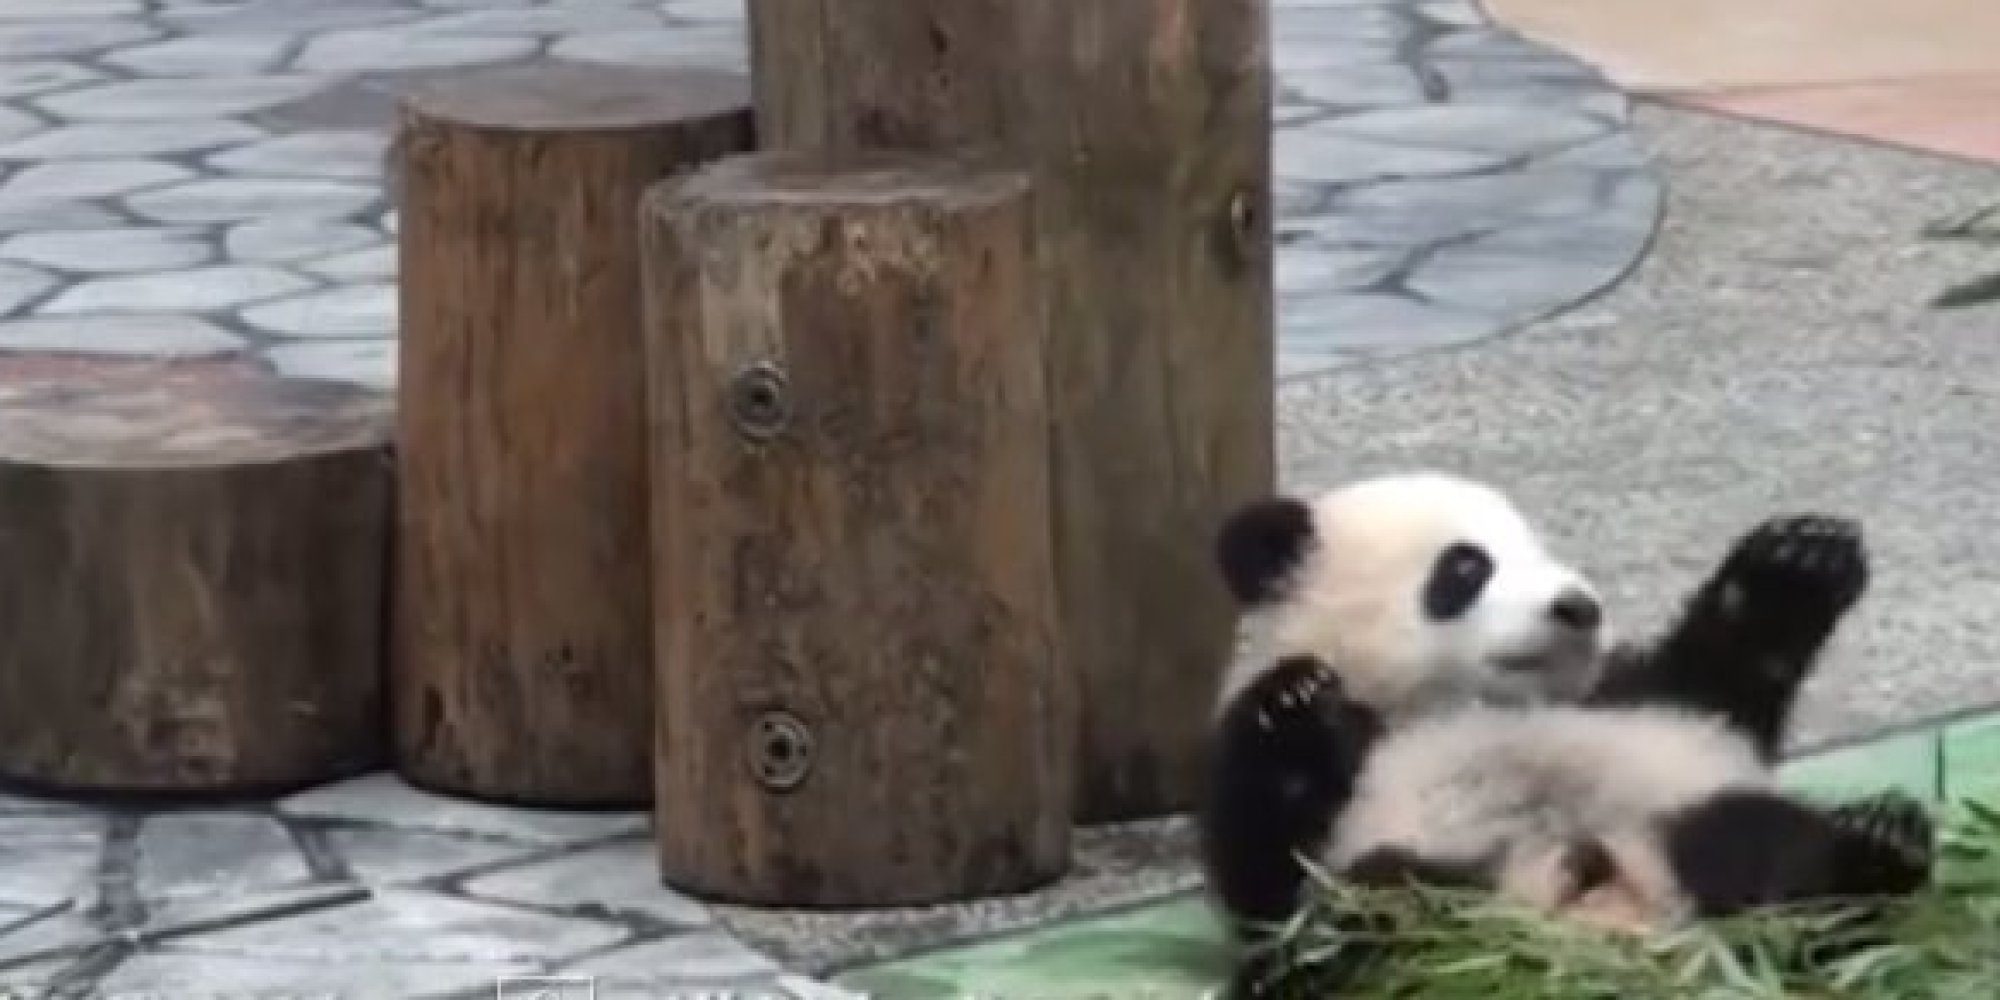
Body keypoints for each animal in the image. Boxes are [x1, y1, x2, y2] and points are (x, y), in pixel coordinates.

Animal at [1198, 471, 1934, 995]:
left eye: (1542, 550)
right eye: (1466, 568)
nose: (1579, 607)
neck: (1456, 708)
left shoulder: (1625, 710)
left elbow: (1715, 689)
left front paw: (1800, 560)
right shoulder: (1343, 797)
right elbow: (1270, 887)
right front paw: (1293, 701)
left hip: (1670, 821)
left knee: (1758, 852)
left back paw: (1874, 846)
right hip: (1451, 895)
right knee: (1384, 912)